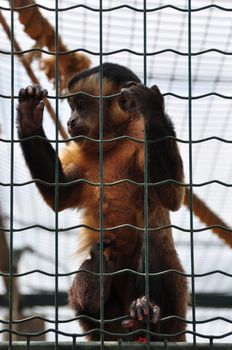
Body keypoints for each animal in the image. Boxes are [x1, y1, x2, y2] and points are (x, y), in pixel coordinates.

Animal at [16, 63, 188, 342]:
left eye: (82, 105)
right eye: (72, 106)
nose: (71, 121)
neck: (115, 140)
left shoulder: (140, 134)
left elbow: (171, 194)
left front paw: (153, 109)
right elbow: (59, 194)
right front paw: (29, 118)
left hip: (177, 302)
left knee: (151, 234)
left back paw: (147, 312)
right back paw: (99, 288)